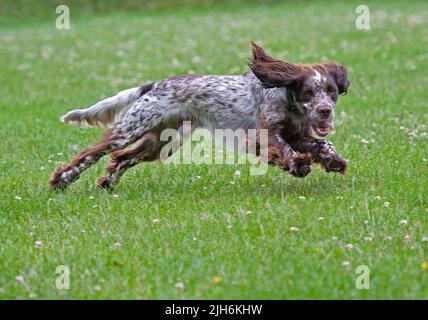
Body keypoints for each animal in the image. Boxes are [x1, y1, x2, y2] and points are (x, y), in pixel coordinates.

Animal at [51, 42, 352, 190]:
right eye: (309, 91)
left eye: (331, 91)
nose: (325, 111)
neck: (289, 102)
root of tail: (155, 84)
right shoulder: (263, 134)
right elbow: (284, 149)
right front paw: (299, 165)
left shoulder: (298, 134)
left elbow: (322, 143)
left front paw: (333, 160)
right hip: (130, 129)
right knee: (93, 153)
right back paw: (62, 180)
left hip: (162, 142)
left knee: (122, 158)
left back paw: (108, 183)